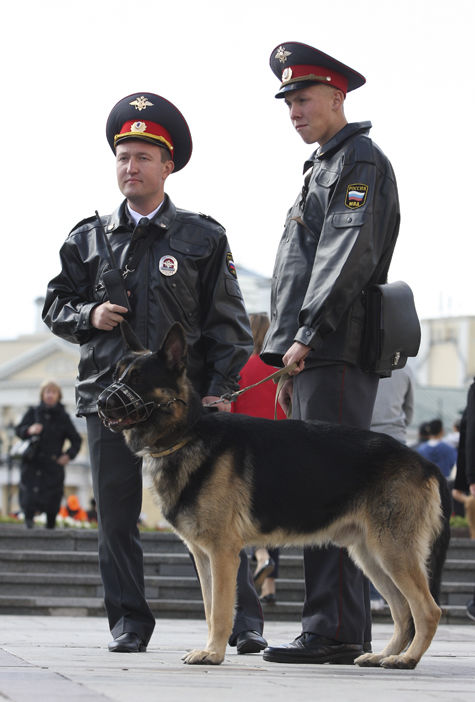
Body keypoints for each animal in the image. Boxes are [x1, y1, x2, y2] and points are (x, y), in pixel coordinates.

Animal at [97, 324, 450, 672]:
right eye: (116, 374)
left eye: (138, 378)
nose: (99, 401)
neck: (187, 434)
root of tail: (422, 461)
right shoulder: (203, 556)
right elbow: (210, 609)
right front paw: (210, 649)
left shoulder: (223, 553)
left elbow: (221, 610)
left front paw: (213, 653)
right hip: (371, 556)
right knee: (403, 610)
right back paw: (385, 655)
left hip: (392, 552)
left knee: (427, 610)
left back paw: (407, 658)